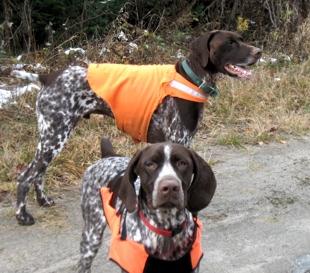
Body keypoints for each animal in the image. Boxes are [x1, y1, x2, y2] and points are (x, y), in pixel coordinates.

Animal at [15, 30, 260, 225]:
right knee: (26, 176)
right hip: (55, 136)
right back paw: (23, 216)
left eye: (240, 39)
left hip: (51, 136)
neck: (191, 78)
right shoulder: (178, 139)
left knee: (38, 173)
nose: (258, 52)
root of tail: (47, 76)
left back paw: (44, 201)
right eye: (230, 43)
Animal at [78, 139, 217, 270]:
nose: (170, 187)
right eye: (150, 164)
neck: (166, 228)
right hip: (91, 238)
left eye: (182, 163)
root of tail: (108, 156)